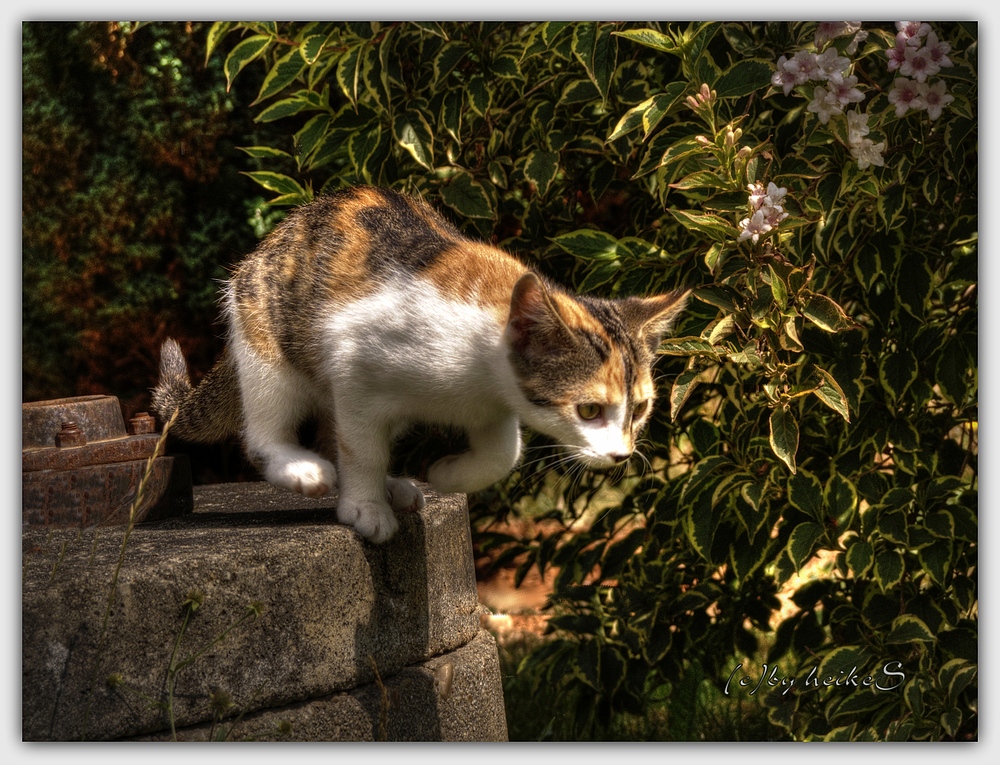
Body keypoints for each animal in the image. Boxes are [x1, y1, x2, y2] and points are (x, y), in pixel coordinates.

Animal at [152, 185, 692, 544]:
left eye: (640, 409)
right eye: (589, 411)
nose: (621, 455)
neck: (478, 374)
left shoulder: (495, 406)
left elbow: (504, 453)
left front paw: (448, 475)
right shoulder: (354, 362)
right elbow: (362, 449)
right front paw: (364, 505)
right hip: (265, 337)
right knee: (268, 429)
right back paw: (306, 469)